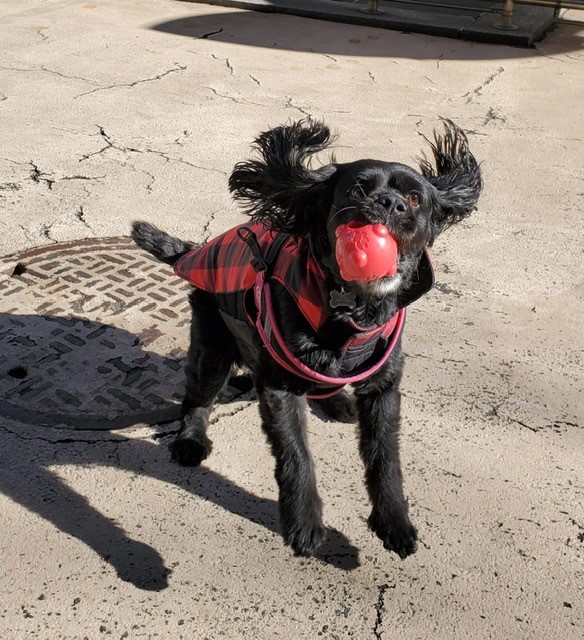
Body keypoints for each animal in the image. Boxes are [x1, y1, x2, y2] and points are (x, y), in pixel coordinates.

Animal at [131, 120, 480, 560]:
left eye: (416, 198)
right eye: (357, 191)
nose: (389, 204)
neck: (353, 310)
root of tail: (194, 249)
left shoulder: (383, 388)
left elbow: (386, 459)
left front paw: (394, 523)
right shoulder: (281, 386)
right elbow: (296, 456)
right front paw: (304, 525)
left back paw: (335, 401)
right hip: (212, 344)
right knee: (197, 397)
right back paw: (191, 440)